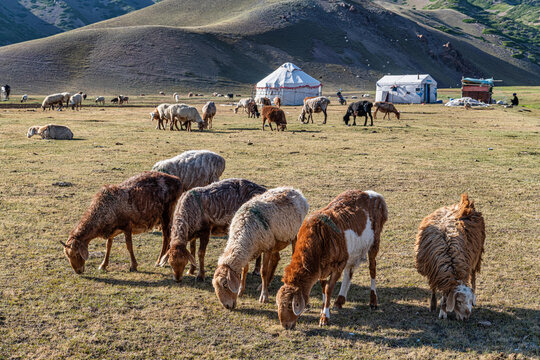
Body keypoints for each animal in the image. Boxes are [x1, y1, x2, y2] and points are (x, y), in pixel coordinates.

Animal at [278, 191, 388, 330]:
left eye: (291, 305)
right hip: (351, 252)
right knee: (349, 272)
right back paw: (340, 300)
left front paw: (324, 318)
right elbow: (323, 288)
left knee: (372, 269)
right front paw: (324, 309)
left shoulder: (338, 265)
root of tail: (376, 195)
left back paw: (373, 301)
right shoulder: (322, 268)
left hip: (374, 241)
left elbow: (328, 289)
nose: (285, 325)